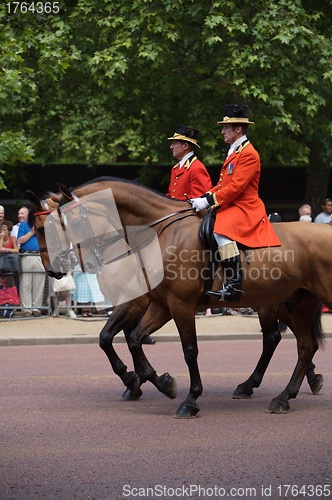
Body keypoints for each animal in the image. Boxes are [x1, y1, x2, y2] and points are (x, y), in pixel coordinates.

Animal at [26, 178, 326, 416]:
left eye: (56, 225)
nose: (53, 269)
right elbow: (119, 339)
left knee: (278, 338)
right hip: (283, 302)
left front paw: (145, 382)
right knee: (296, 340)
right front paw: (141, 381)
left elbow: (123, 339)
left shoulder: (150, 302)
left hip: (271, 304)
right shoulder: (153, 303)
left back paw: (267, 385)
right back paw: (292, 382)